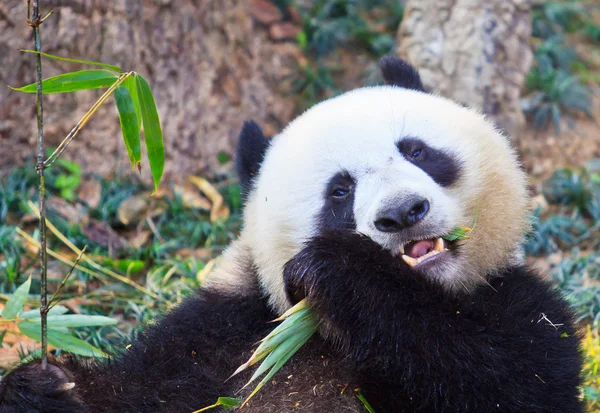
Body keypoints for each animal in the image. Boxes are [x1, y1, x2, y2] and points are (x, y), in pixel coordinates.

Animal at [0, 58, 580, 412]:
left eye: (417, 151)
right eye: (340, 192)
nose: (403, 213)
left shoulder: (525, 306)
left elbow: (507, 382)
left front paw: (344, 272)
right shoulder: (227, 328)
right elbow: (144, 391)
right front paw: (43, 389)